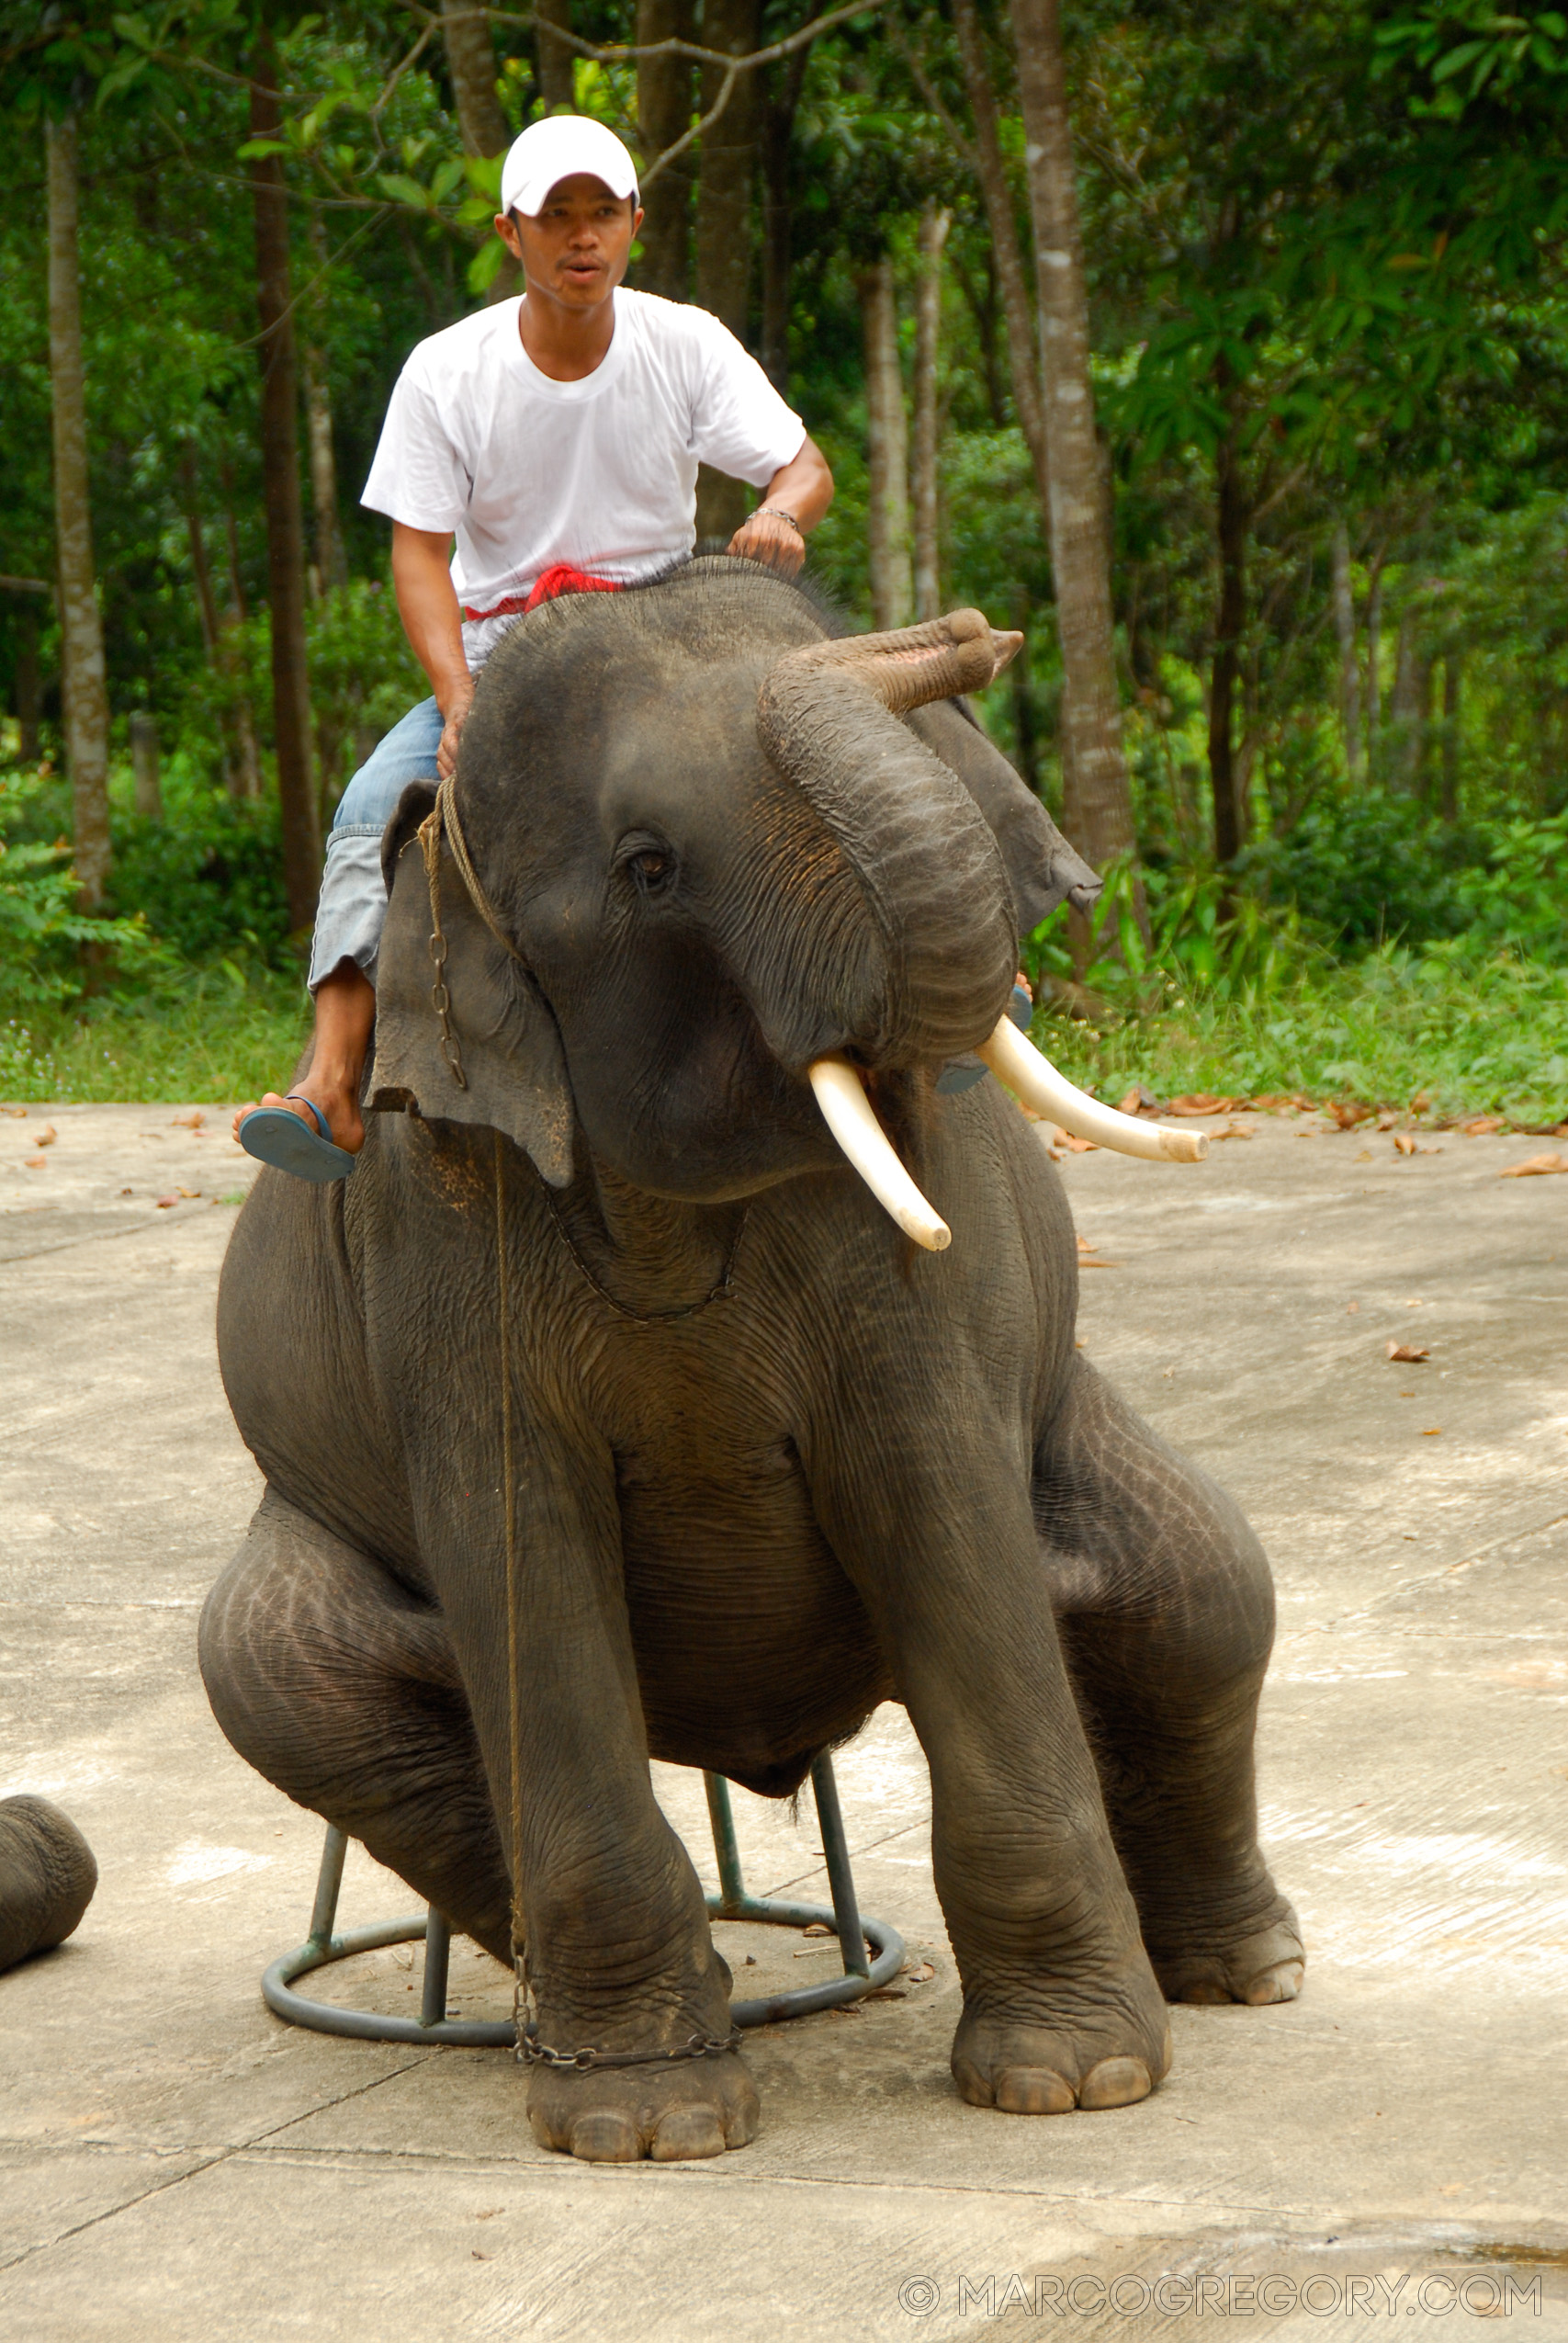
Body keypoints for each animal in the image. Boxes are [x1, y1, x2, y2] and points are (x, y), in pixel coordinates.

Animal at [201, 557, 1303, 2165]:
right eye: (648, 866)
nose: (969, 634)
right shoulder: (442, 1228)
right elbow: (520, 1563)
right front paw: (648, 2127)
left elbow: (943, 1504)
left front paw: (1073, 2083)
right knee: (280, 1676)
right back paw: (616, 1991)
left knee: (1202, 1594)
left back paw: (1249, 1974)